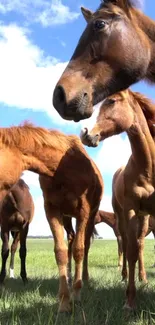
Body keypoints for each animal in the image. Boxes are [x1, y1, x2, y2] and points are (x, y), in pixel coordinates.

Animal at [80, 88, 155, 308]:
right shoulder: (130, 210)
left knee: (139, 244)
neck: (148, 168)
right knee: (129, 244)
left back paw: (143, 277)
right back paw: (125, 276)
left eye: (112, 101)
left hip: (144, 217)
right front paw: (130, 300)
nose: (86, 134)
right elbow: (130, 251)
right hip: (123, 216)